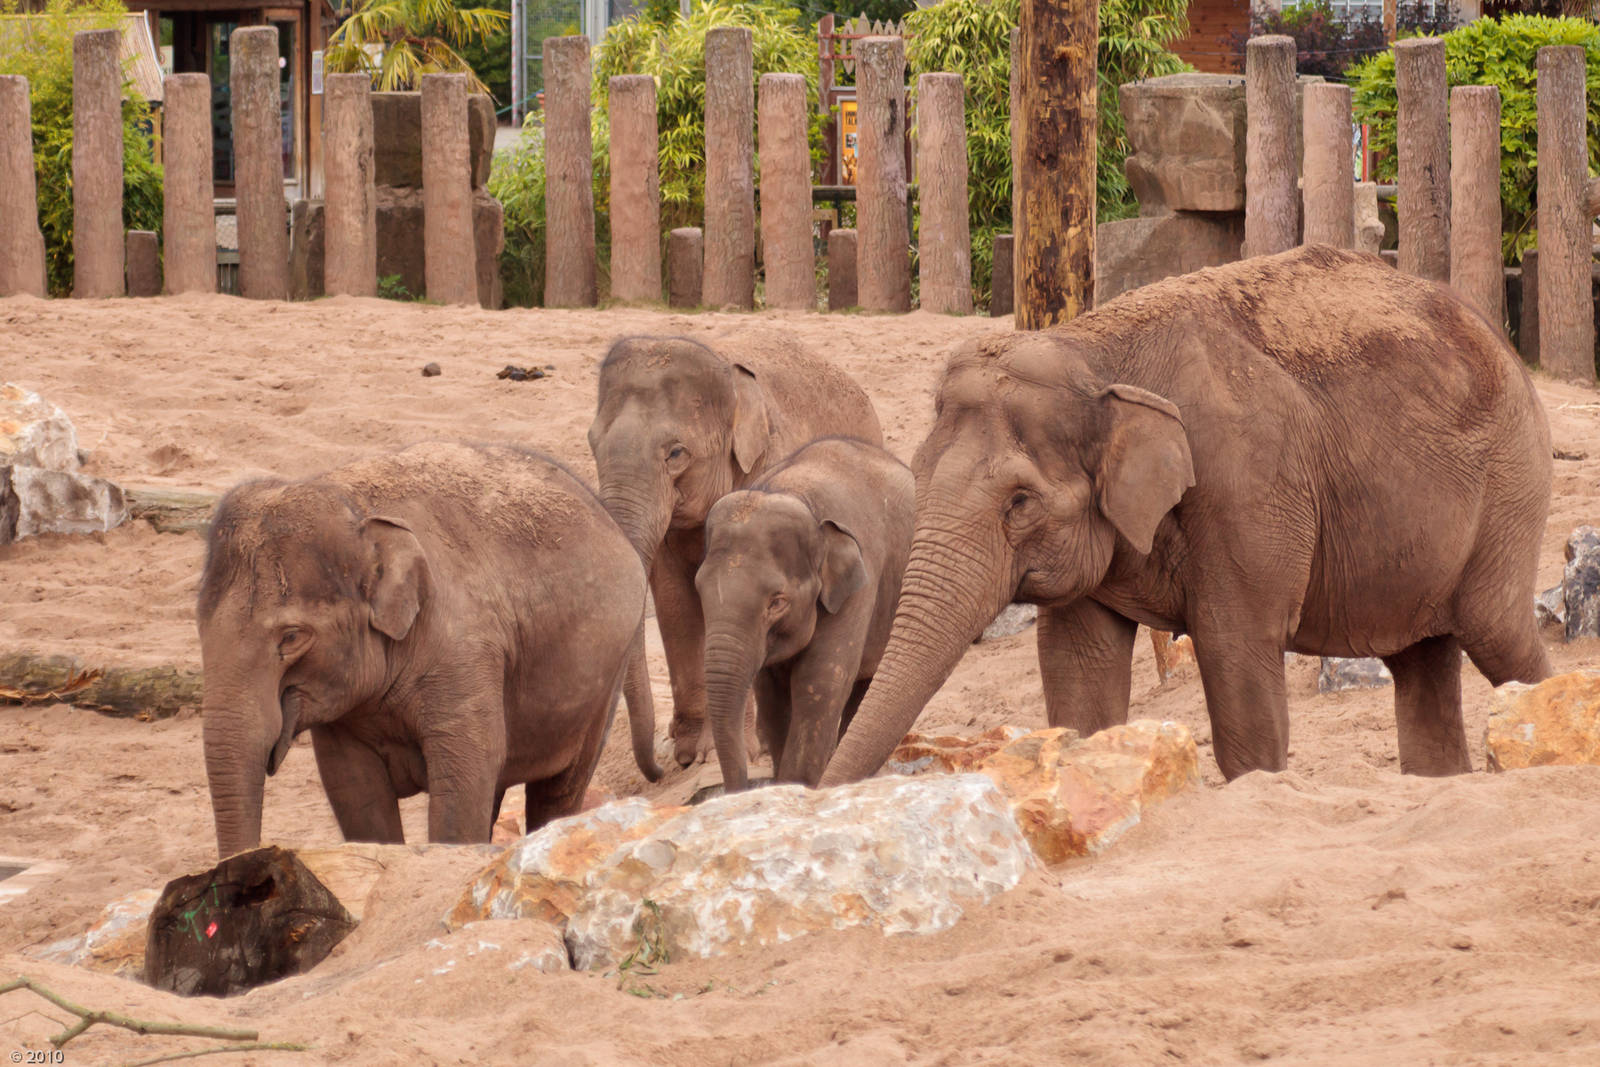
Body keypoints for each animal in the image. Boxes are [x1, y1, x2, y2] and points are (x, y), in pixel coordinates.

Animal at [197, 442, 653, 859]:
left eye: (291, 638)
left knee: (558, 790)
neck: (351, 506)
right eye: (199, 628)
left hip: (609, 674)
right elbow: (354, 788)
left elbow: (467, 771)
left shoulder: (465, 652)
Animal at [588, 329, 883, 767]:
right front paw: (688, 752)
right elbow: (674, 601)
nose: (655, 769)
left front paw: (725, 752)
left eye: (676, 453)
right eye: (592, 443)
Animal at [696, 437, 915, 791]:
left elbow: (819, 684)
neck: (792, 492)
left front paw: (796, 786)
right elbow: (771, 696)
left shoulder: (860, 586)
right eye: (699, 588)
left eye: (777, 602)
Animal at [821, 245, 1552, 786]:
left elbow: (1236, 650)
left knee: (1500, 634)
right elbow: (1078, 667)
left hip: (1510, 488)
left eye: (1019, 501)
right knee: (1423, 664)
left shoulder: (1247, 485)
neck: (1094, 351)